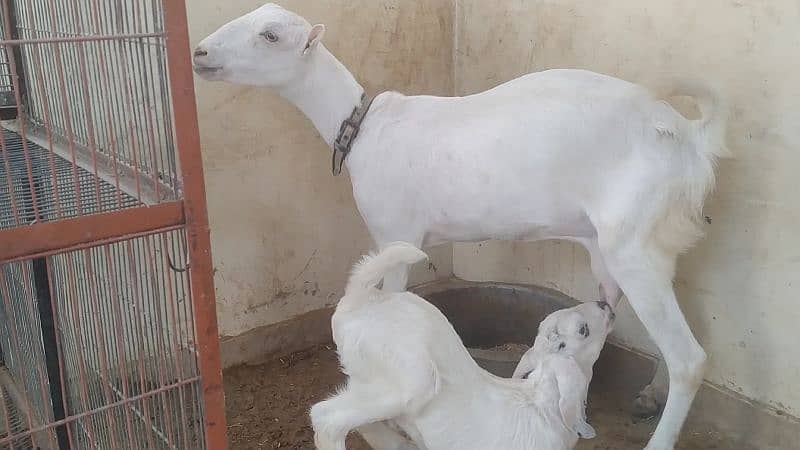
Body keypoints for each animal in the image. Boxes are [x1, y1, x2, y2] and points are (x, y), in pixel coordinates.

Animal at [194, 4, 724, 450]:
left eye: (270, 34)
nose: (199, 54)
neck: (363, 128)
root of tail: (690, 137)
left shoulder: (395, 232)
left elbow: (392, 294)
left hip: (633, 240)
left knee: (690, 358)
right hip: (634, 242)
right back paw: (647, 393)